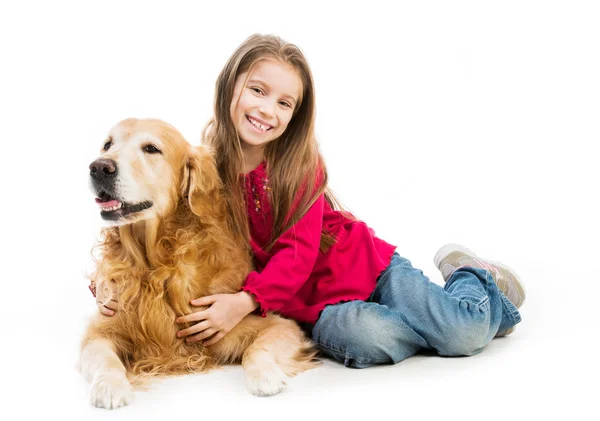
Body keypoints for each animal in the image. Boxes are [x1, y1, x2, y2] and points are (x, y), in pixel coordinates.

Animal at [82, 118, 322, 406]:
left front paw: (265, 376)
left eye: (151, 149)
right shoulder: (100, 328)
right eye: (107, 145)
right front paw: (110, 385)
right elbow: (104, 359)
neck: (156, 263)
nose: (99, 167)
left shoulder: (276, 325)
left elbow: (257, 349)